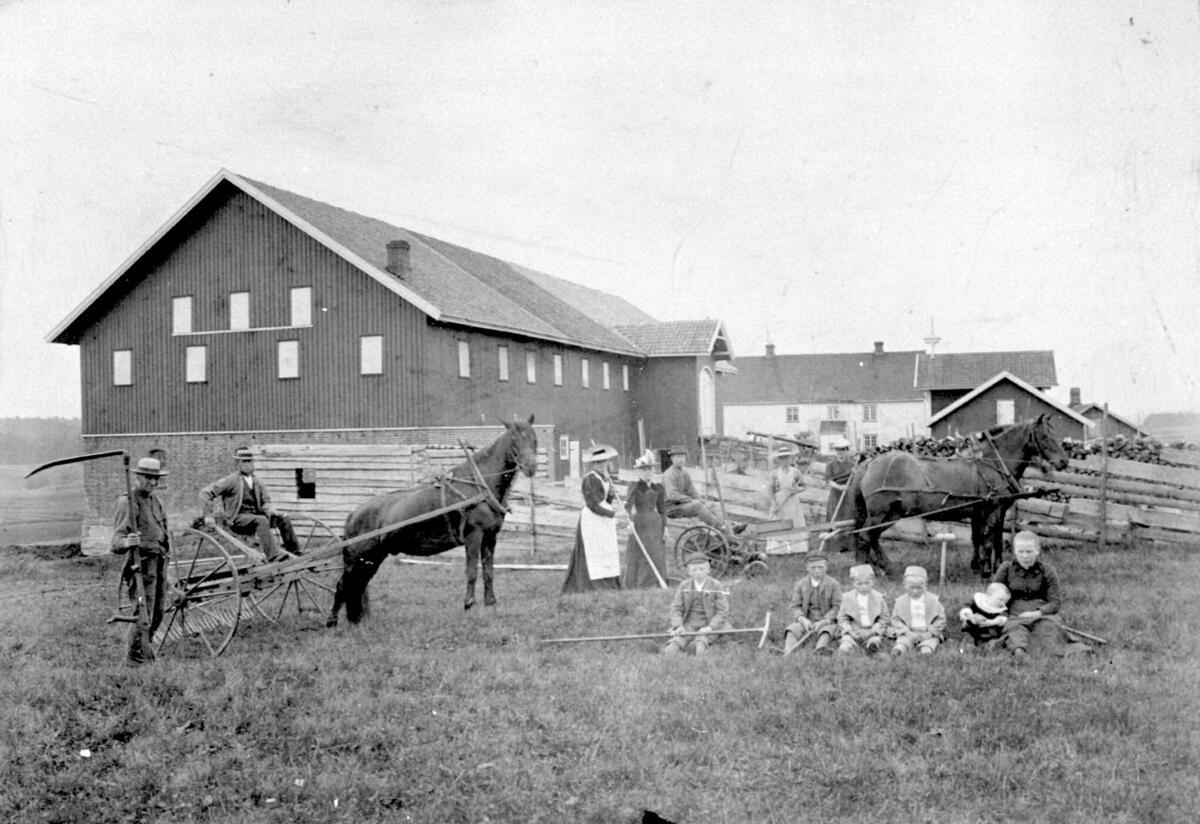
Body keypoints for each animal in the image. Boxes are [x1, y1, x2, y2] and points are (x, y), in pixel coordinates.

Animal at [326, 419, 537, 623]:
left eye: (534, 439)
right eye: (514, 440)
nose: (531, 467)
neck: (479, 486)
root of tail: (353, 515)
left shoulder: (490, 537)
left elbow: (488, 572)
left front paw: (490, 604)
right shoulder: (474, 536)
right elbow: (472, 572)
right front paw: (469, 604)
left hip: (372, 558)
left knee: (357, 586)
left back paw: (356, 620)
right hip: (358, 558)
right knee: (343, 586)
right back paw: (332, 622)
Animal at [854, 412, 1070, 580]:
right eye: (1045, 436)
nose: (1064, 462)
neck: (994, 463)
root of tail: (870, 463)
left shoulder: (984, 511)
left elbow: (987, 539)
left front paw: (983, 567)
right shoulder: (993, 509)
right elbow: (988, 540)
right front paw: (986, 572)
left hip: (892, 513)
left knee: (871, 537)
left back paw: (881, 568)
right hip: (881, 513)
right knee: (865, 537)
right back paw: (873, 569)